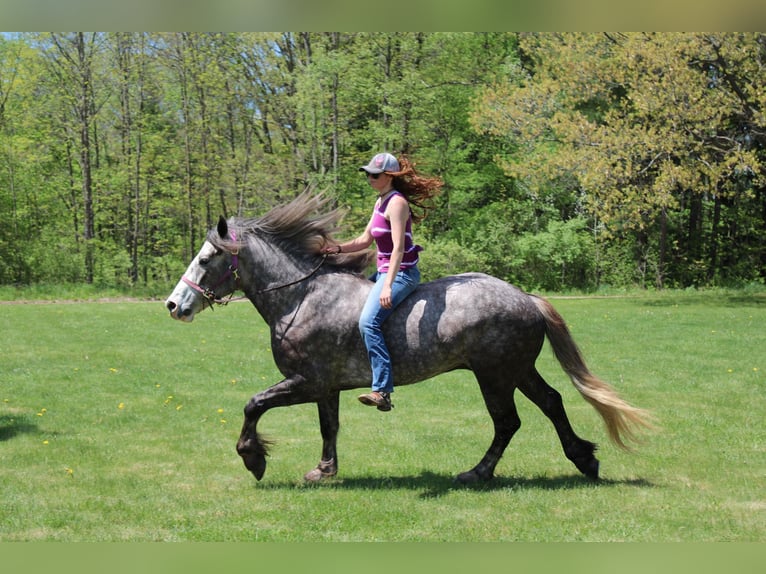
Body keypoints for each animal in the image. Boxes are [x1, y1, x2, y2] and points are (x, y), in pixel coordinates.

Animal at [165, 194, 652, 486]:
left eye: (206, 258)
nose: (173, 305)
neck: (301, 298)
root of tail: (526, 298)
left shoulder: (306, 382)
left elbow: (253, 404)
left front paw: (254, 457)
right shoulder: (326, 388)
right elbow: (328, 427)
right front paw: (325, 470)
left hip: (495, 375)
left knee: (507, 422)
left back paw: (478, 473)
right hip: (516, 370)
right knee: (551, 403)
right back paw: (584, 460)